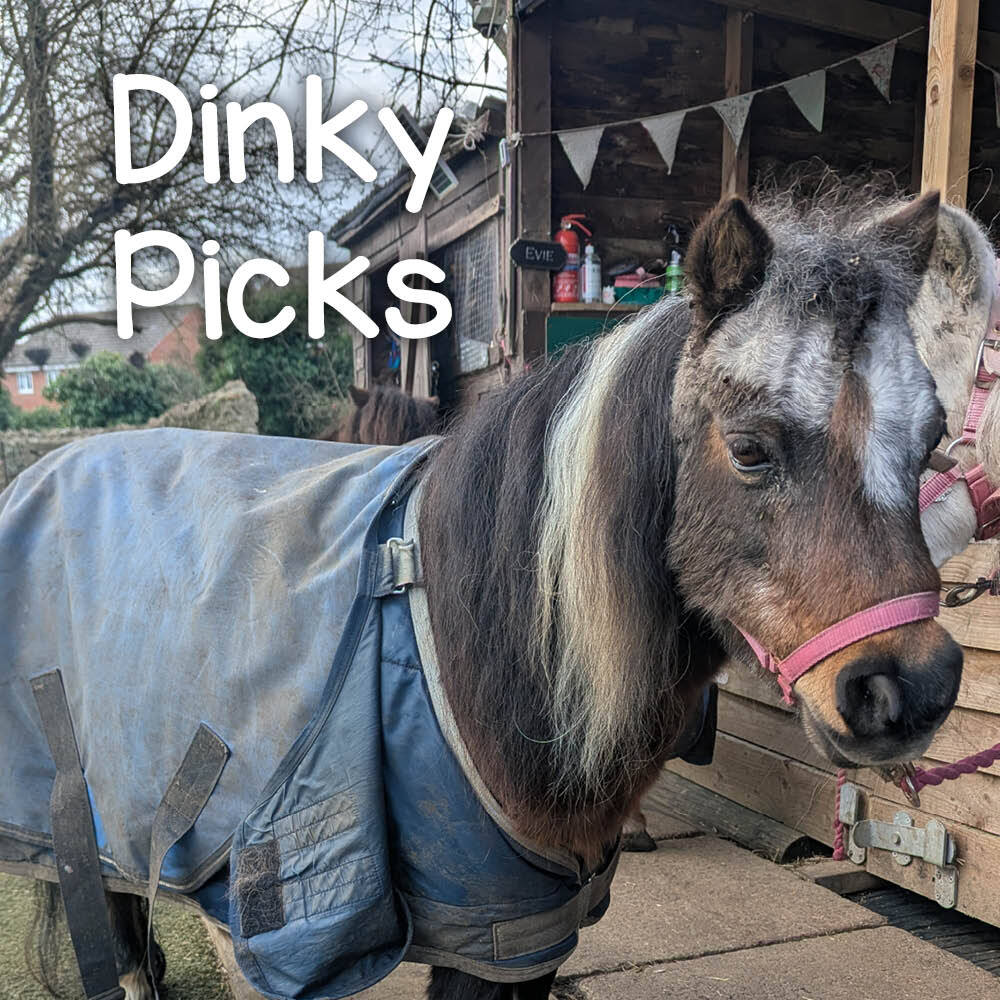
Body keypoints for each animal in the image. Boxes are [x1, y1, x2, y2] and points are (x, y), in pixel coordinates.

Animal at [2, 189, 971, 1000]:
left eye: (931, 443)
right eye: (750, 449)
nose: (908, 689)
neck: (480, 647)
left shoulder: (531, 935)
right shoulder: (487, 929)